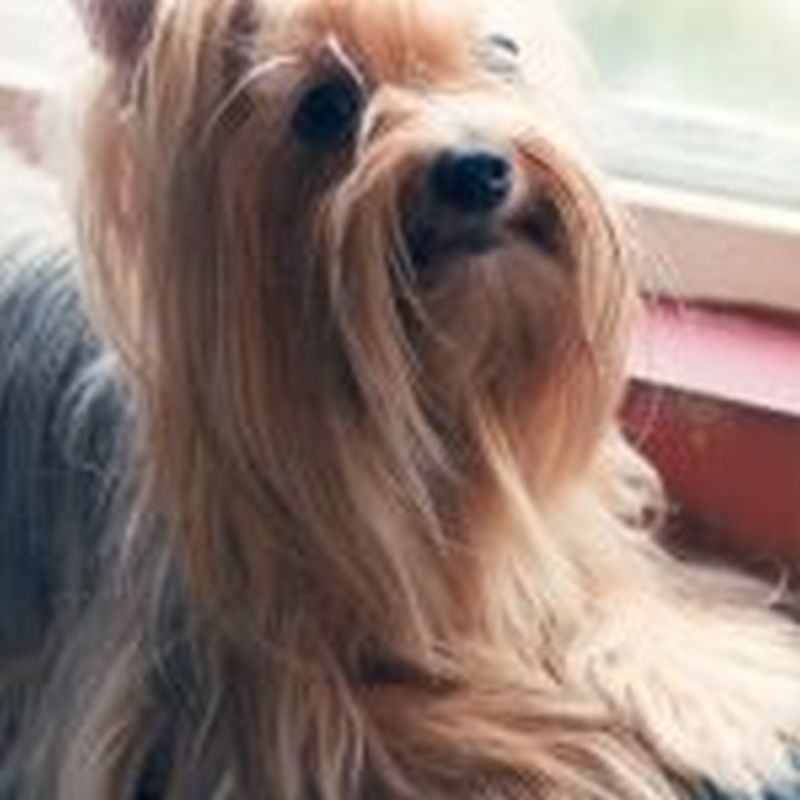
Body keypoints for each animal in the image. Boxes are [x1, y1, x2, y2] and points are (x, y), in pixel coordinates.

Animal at [1, 0, 800, 797]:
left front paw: (720, 696)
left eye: (502, 52)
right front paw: (596, 754)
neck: (443, 399)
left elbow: (609, 596)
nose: (478, 168)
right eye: (325, 108)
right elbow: (423, 725)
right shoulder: (247, 689)